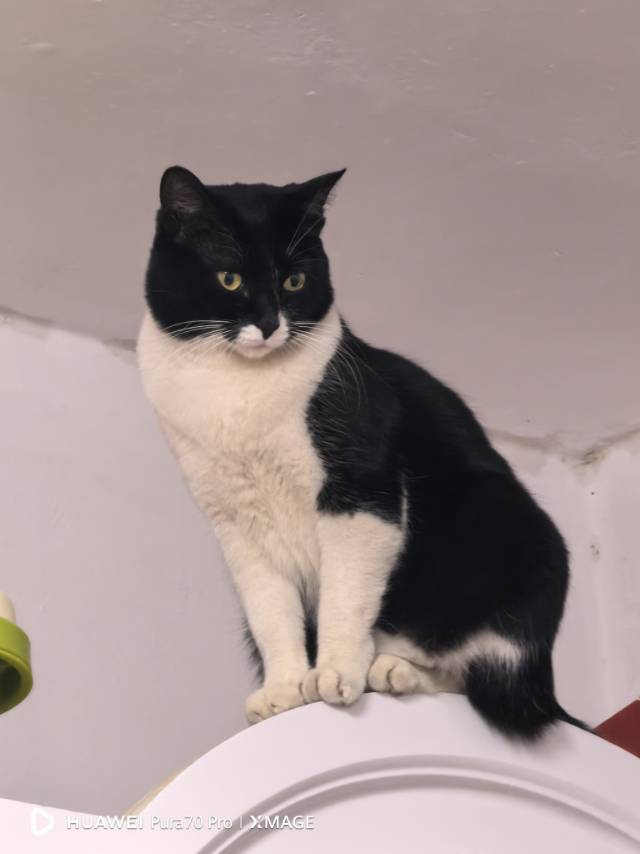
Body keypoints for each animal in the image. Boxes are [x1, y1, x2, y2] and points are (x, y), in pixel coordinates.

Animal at [138, 165, 583, 739]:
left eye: (295, 281)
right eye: (229, 279)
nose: (269, 323)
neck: (236, 392)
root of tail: (548, 688)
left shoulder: (361, 486)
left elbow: (345, 593)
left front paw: (333, 672)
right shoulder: (235, 524)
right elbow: (269, 610)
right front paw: (285, 688)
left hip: (507, 525)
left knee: (481, 675)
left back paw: (391, 669)